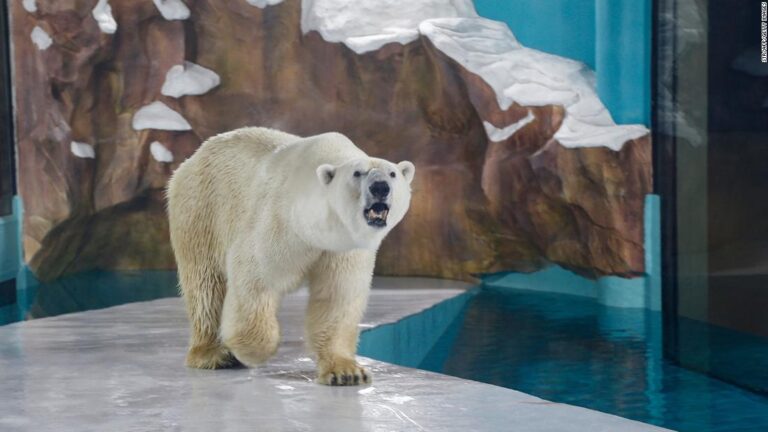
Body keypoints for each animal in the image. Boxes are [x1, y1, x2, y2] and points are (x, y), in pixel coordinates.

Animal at [166, 127, 414, 386]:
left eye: (393, 173)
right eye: (357, 173)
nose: (380, 187)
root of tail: (193, 158)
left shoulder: (344, 245)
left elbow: (337, 295)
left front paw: (346, 372)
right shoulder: (281, 220)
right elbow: (253, 275)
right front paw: (250, 350)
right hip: (201, 207)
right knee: (204, 283)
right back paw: (213, 353)